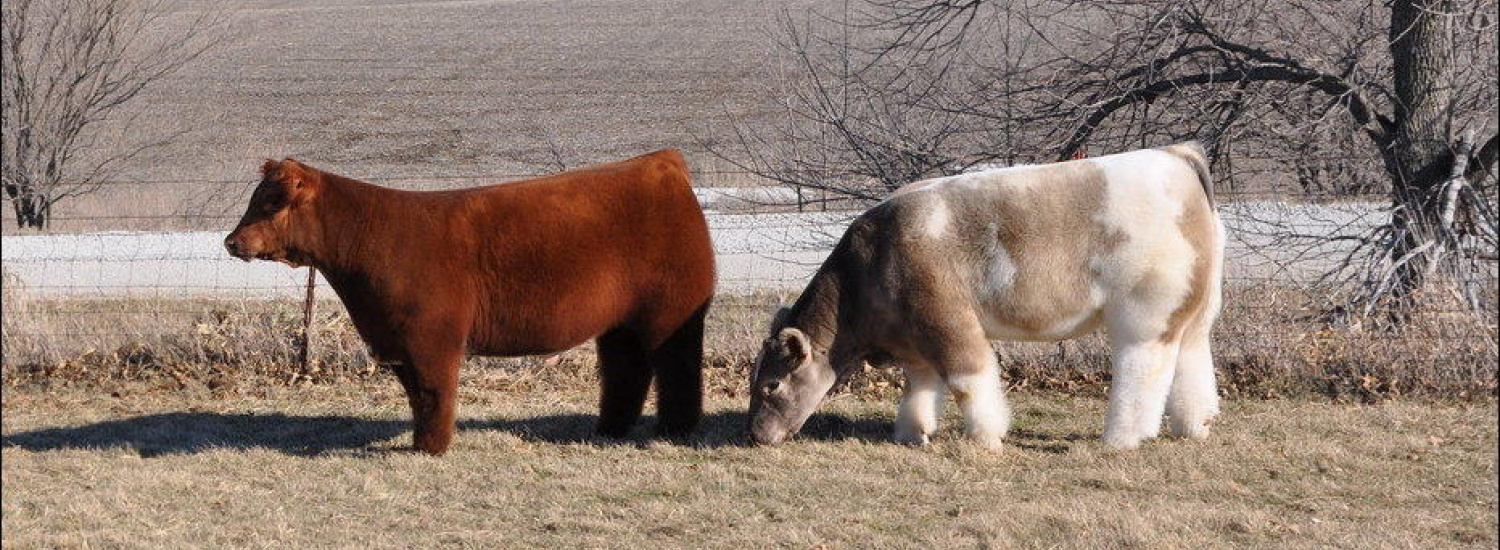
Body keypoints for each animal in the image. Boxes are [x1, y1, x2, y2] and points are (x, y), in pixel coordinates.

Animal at [225, 148, 717, 455]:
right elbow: (417, 396)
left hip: (673, 312)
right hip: (620, 323)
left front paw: (432, 449)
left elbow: (435, 392)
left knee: (677, 368)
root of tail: (663, 164)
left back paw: (675, 429)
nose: (231, 241)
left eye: (270, 202)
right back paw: (611, 429)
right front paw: (422, 443)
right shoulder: (399, 344)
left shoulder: (432, 338)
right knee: (626, 370)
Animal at [744, 142, 1224, 452]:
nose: (754, 435)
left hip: (1144, 314)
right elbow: (919, 386)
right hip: (1195, 312)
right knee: (1192, 360)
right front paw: (912, 433)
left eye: (772, 384)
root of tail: (1175, 155)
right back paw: (1195, 426)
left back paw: (1121, 439)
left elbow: (968, 380)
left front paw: (985, 437)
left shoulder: (947, 321)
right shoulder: (914, 340)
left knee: (1142, 371)